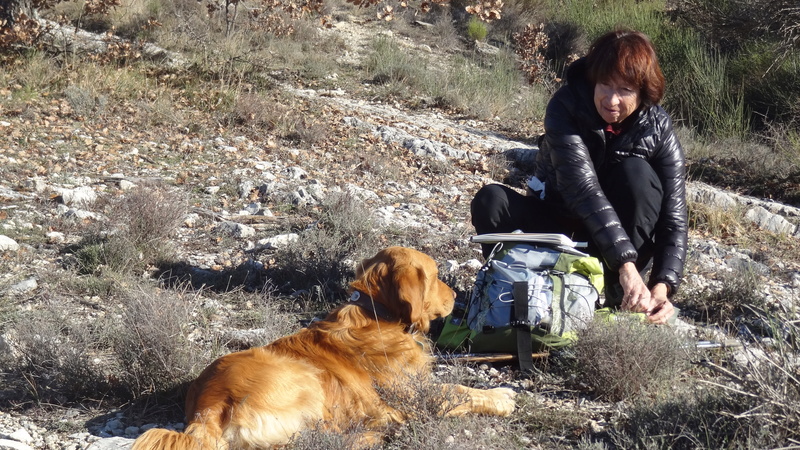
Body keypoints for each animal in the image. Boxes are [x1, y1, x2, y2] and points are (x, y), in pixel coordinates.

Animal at [134, 248, 516, 448]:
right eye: (436, 277)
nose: (456, 296)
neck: (377, 314)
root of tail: (206, 408)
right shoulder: (416, 394)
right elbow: (461, 390)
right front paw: (501, 396)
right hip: (306, 378)